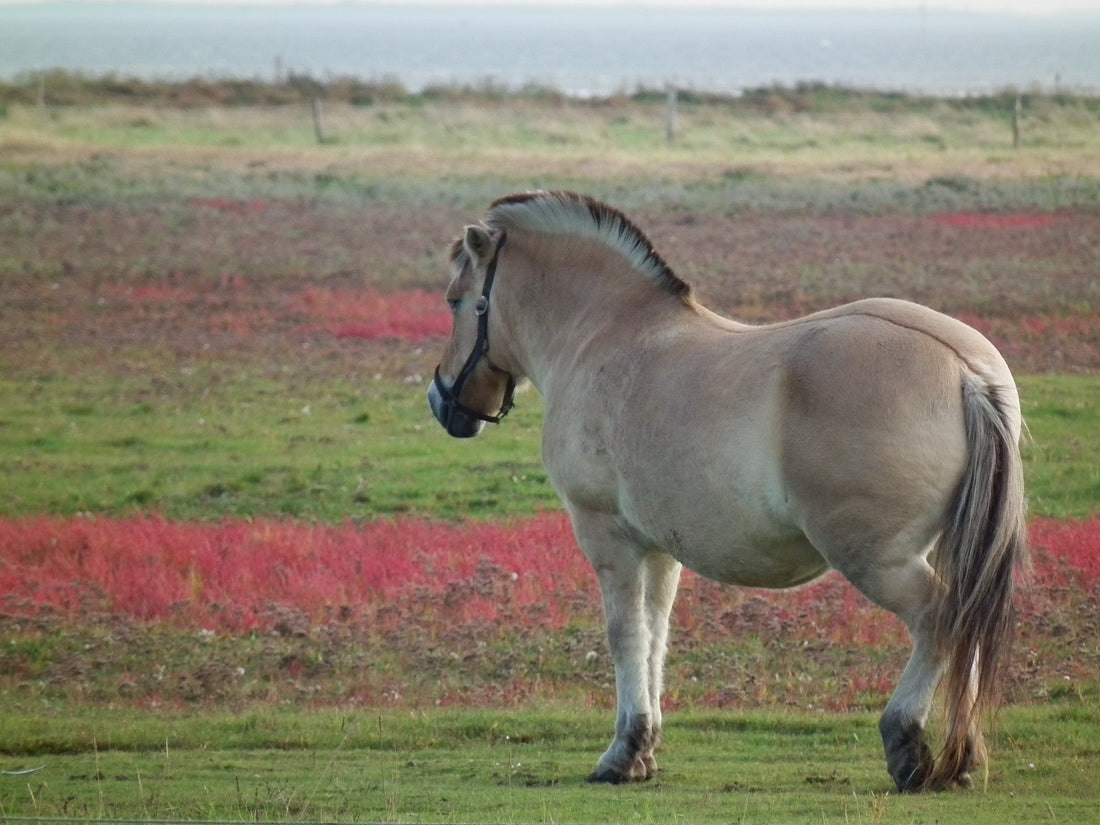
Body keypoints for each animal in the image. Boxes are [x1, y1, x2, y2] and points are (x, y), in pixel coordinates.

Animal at [427, 191, 1027, 792]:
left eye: (456, 301)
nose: (441, 401)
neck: (606, 337)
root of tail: (965, 372)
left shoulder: (607, 535)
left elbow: (625, 634)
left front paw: (622, 752)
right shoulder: (658, 550)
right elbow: (655, 632)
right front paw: (644, 748)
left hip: (879, 562)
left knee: (941, 620)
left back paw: (906, 743)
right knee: (967, 626)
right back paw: (962, 759)